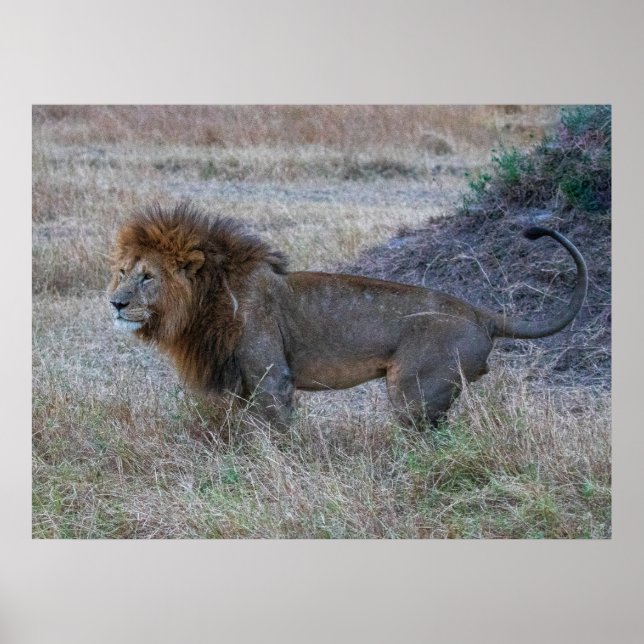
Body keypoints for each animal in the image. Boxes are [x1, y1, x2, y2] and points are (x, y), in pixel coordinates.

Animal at [108, 203, 587, 428]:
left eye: (147, 277)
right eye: (122, 271)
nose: (115, 302)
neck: (206, 299)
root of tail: (480, 312)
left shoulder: (271, 377)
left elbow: (274, 434)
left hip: (413, 389)